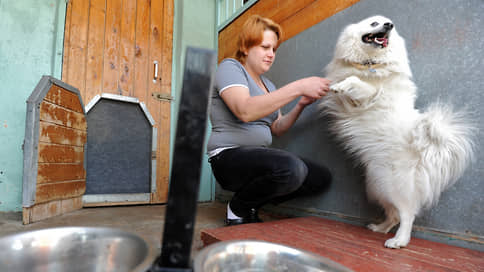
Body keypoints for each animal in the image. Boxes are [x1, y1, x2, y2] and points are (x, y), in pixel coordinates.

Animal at [320, 15, 474, 249]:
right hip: (378, 186)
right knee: (393, 215)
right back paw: (380, 228)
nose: (389, 26)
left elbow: (357, 83)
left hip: (394, 187)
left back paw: (399, 241)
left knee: (407, 214)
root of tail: (421, 149)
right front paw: (334, 86)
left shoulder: (370, 95)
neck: (370, 63)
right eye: (374, 23)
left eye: (388, 23)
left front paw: (343, 85)